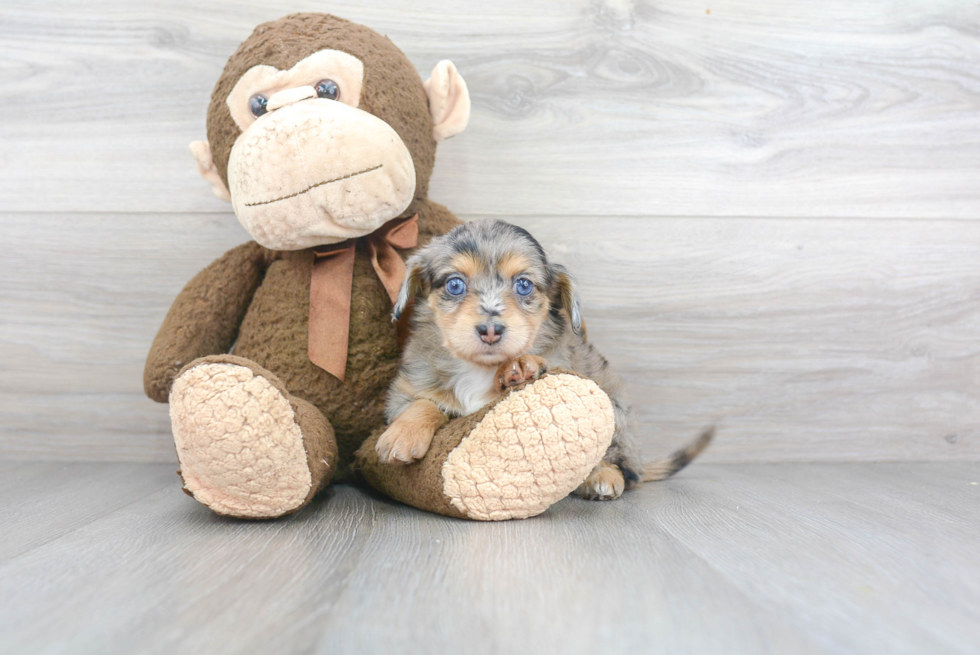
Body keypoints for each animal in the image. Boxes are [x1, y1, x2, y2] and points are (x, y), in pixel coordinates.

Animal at [376, 218, 712, 500]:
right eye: (455, 284)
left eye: (523, 284)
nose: (490, 330)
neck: (480, 369)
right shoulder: (405, 392)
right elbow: (424, 404)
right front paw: (401, 436)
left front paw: (521, 365)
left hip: (616, 411)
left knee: (619, 467)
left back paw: (602, 478)